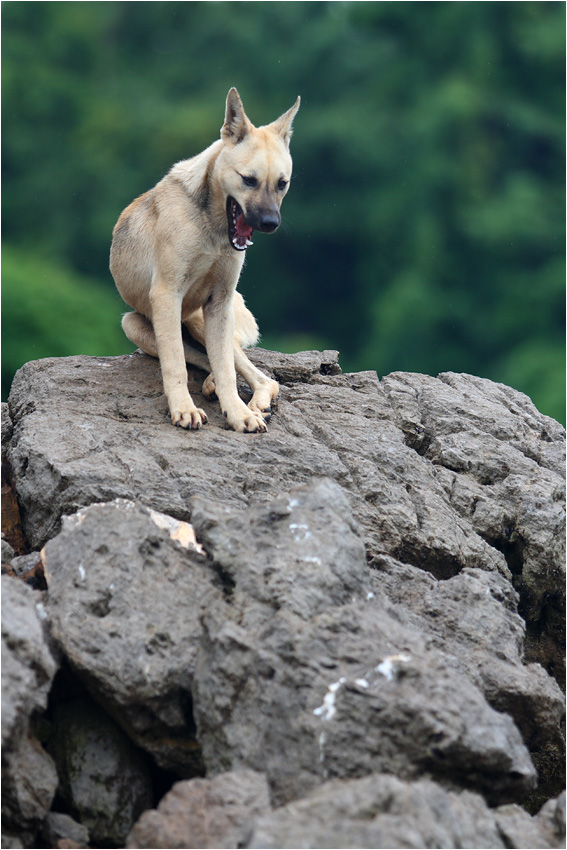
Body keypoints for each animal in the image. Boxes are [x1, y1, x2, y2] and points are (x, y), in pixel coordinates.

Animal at [108, 88, 300, 430]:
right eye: (248, 180)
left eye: (282, 183)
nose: (270, 223)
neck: (212, 229)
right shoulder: (167, 295)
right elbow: (176, 365)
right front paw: (184, 409)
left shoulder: (219, 302)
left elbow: (225, 369)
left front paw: (238, 414)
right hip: (137, 324)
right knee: (200, 360)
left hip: (205, 318)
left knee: (261, 378)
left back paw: (251, 403)